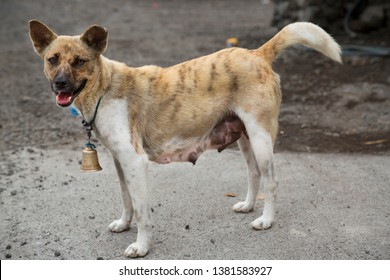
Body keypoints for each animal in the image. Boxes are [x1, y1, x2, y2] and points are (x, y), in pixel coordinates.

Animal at [29, 18, 342, 258]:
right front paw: (124, 223)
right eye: (52, 60)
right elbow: (126, 200)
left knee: (272, 181)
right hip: (246, 138)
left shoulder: (135, 162)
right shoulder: (120, 162)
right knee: (254, 173)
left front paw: (141, 247)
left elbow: (142, 211)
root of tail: (257, 53)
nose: (60, 84)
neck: (104, 87)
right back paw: (248, 206)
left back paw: (266, 220)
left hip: (261, 138)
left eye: (79, 61)